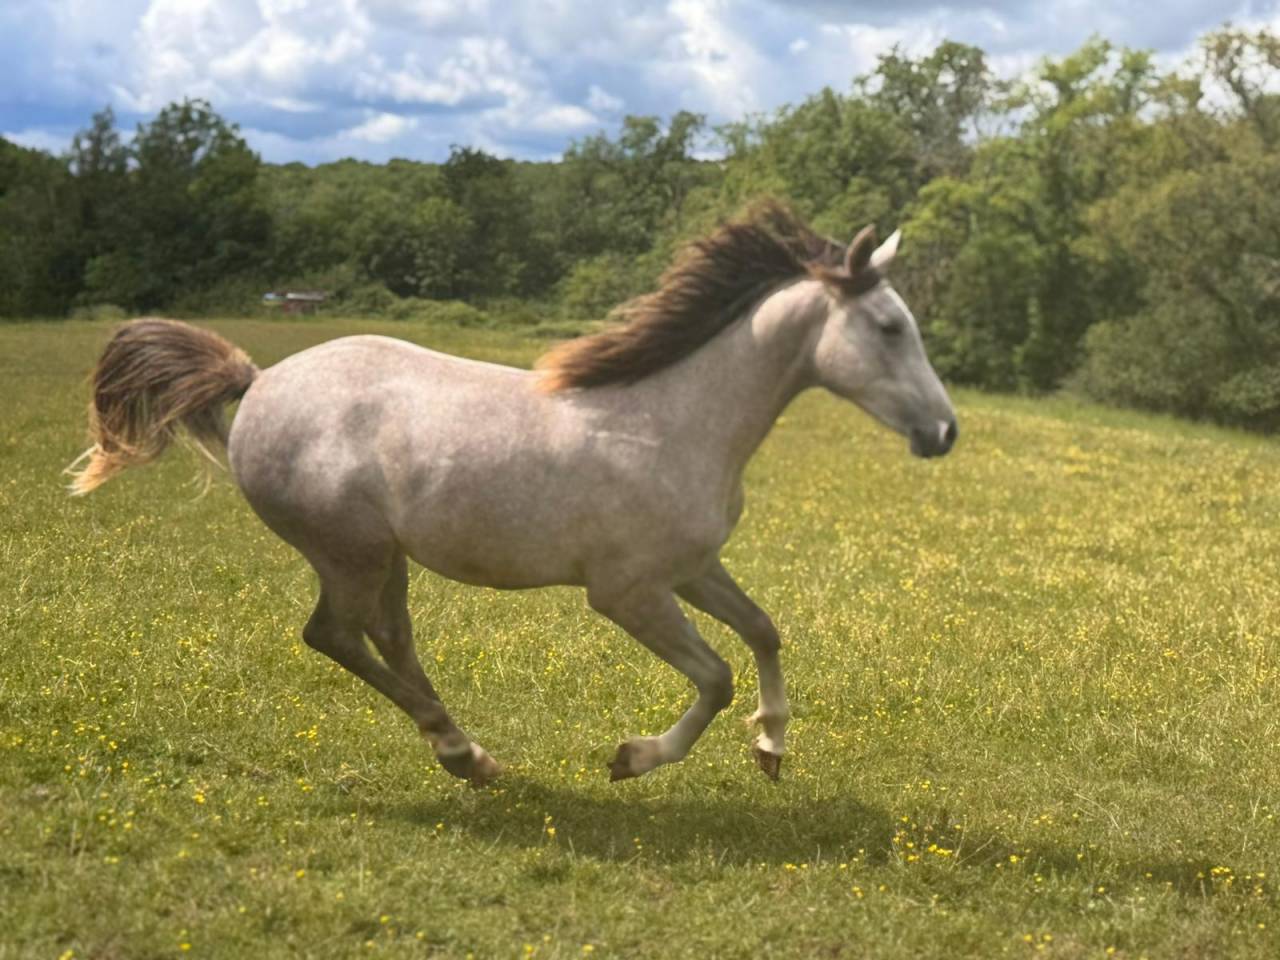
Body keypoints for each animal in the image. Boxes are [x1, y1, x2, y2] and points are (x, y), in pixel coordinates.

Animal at [68, 202, 957, 787]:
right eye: (888, 327)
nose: (946, 433)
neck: (670, 422)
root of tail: (256, 383)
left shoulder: (693, 568)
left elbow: (766, 632)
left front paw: (771, 748)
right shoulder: (628, 592)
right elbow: (715, 677)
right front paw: (633, 758)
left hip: (385, 558)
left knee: (388, 638)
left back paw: (470, 754)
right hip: (347, 552)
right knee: (332, 636)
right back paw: (460, 751)